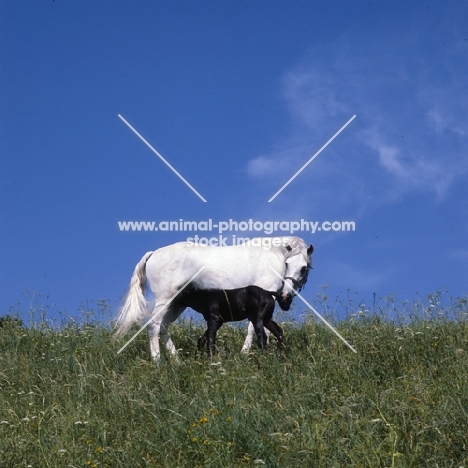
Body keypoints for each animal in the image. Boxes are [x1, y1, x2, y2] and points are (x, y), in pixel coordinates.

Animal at [114, 238, 312, 362]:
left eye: (304, 267)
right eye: (287, 264)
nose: (286, 297)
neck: (272, 256)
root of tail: (153, 253)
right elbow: (253, 330)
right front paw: (245, 354)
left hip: (176, 305)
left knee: (163, 327)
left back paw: (177, 361)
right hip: (165, 300)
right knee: (154, 325)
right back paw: (157, 361)